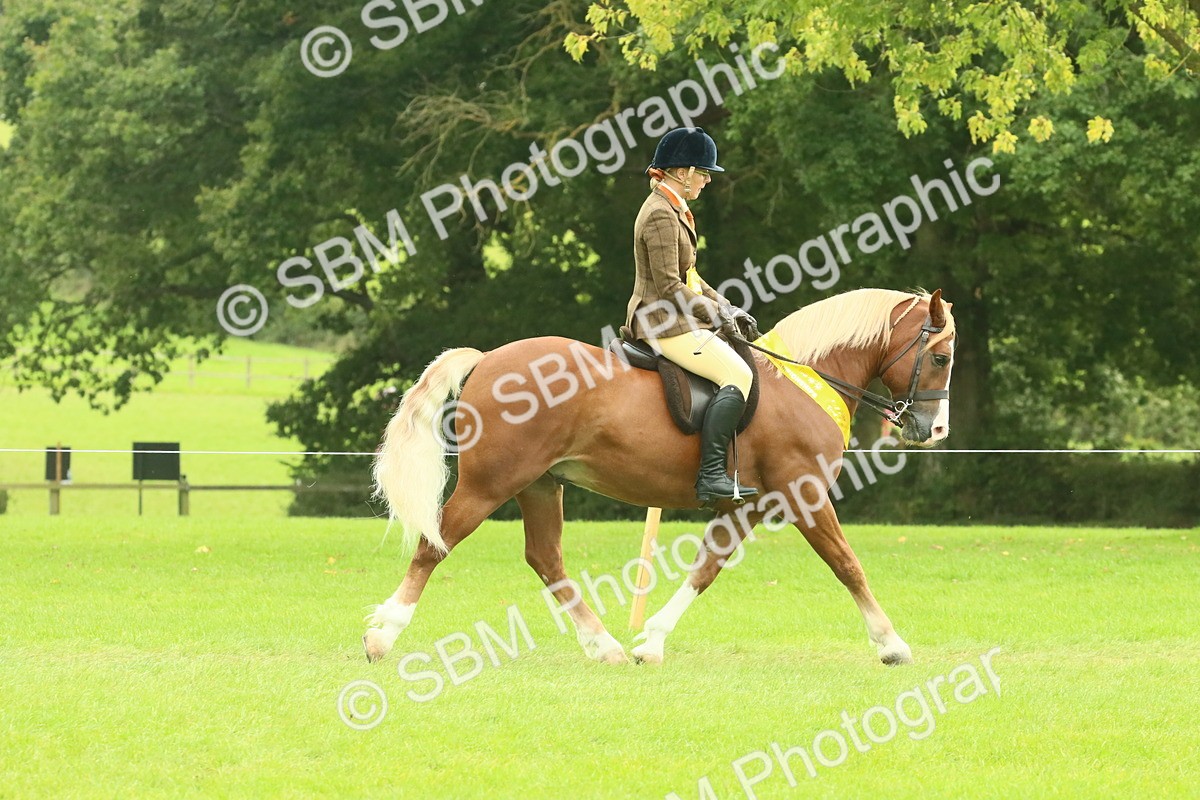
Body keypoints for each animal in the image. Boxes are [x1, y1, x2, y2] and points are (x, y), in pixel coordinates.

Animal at [363, 287, 956, 666]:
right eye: (942, 357)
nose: (934, 429)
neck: (806, 382)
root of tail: (487, 359)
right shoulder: (804, 493)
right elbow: (847, 565)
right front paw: (892, 644)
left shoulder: (746, 505)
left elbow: (706, 568)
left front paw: (651, 643)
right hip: (491, 484)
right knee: (434, 546)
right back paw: (382, 637)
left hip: (541, 484)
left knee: (546, 559)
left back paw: (605, 648)